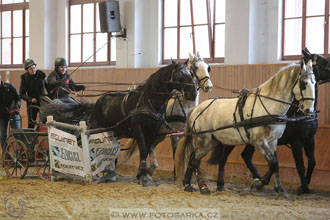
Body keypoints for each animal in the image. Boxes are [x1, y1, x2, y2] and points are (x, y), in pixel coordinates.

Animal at [40, 61, 196, 185]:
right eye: (180, 74)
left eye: (190, 73)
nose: (193, 93)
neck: (148, 101)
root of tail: (96, 103)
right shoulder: (138, 129)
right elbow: (144, 149)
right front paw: (143, 175)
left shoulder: (152, 131)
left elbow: (147, 150)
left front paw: (144, 173)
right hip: (97, 129)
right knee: (92, 147)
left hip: (112, 131)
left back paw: (109, 172)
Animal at [175, 59, 318, 197]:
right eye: (304, 84)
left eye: (315, 83)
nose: (308, 110)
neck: (268, 106)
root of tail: (196, 109)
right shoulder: (260, 142)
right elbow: (274, 163)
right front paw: (261, 183)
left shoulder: (273, 141)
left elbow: (274, 164)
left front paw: (278, 188)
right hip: (204, 140)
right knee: (195, 160)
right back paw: (203, 187)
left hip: (212, 141)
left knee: (194, 158)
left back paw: (189, 184)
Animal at [209, 47, 330, 194]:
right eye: (324, 62)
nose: (308, 109)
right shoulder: (296, 141)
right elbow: (299, 165)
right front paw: (304, 188)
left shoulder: (309, 139)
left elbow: (311, 161)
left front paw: (303, 184)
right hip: (231, 139)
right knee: (224, 159)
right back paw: (222, 183)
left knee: (245, 156)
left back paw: (256, 178)